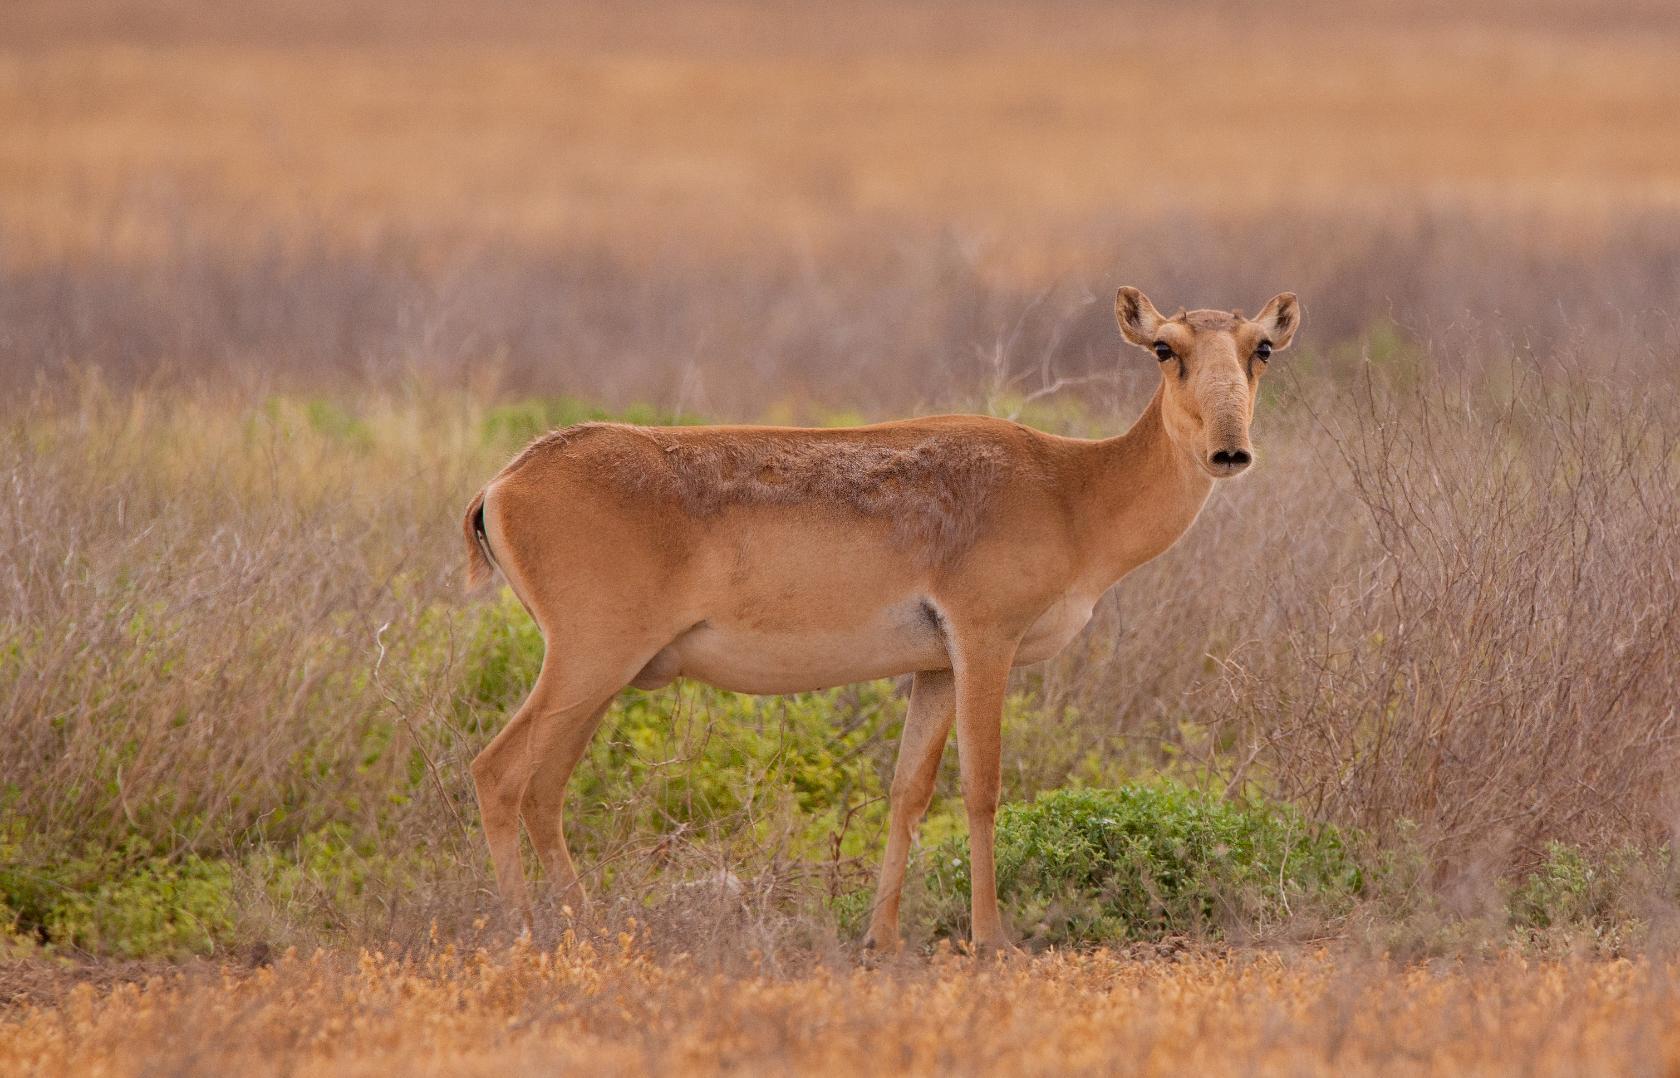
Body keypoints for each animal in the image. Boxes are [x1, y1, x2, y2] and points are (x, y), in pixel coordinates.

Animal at [460, 285, 1296, 947]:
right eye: (1165, 347)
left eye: (1260, 347)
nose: (1229, 451)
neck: (1069, 486)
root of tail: (505, 482)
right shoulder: (984, 644)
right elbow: (982, 786)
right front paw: (992, 940)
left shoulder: (934, 667)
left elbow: (907, 792)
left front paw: (881, 939)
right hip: (587, 664)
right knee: (498, 772)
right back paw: (530, 934)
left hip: (599, 682)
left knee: (543, 787)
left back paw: (589, 928)